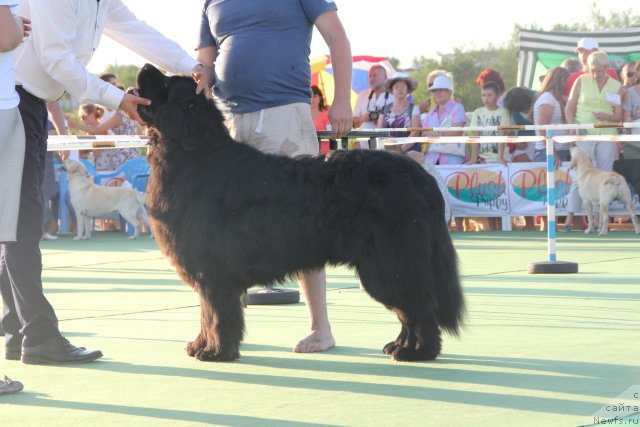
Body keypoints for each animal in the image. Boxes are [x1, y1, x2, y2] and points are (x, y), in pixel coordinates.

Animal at [138, 63, 462, 362]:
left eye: (166, 83)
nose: (145, 67)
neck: (195, 155)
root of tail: (420, 176)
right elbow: (207, 312)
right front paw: (201, 345)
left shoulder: (213, 268)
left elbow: (216, 313)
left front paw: (216, 351)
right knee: (409, 308)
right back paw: (399, 346)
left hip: (389, 262)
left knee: (418, 305)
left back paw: (417, 351)